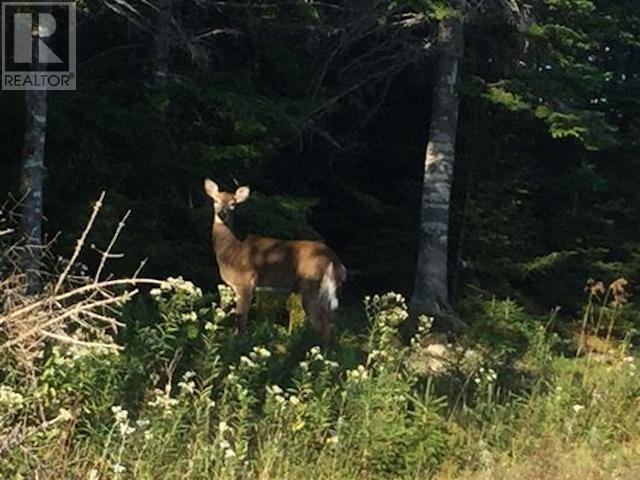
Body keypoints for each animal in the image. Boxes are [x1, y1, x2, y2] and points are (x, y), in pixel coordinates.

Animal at [204, 179, 344, 344]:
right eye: (215, 200)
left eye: (233, 204)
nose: (222, 214)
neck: (231, 250)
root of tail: (335, 259)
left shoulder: (245, 282)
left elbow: (241, 319)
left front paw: (238, 343)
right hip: (326, 290)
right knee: (330, 321)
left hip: (311, 285)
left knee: (323, 325)